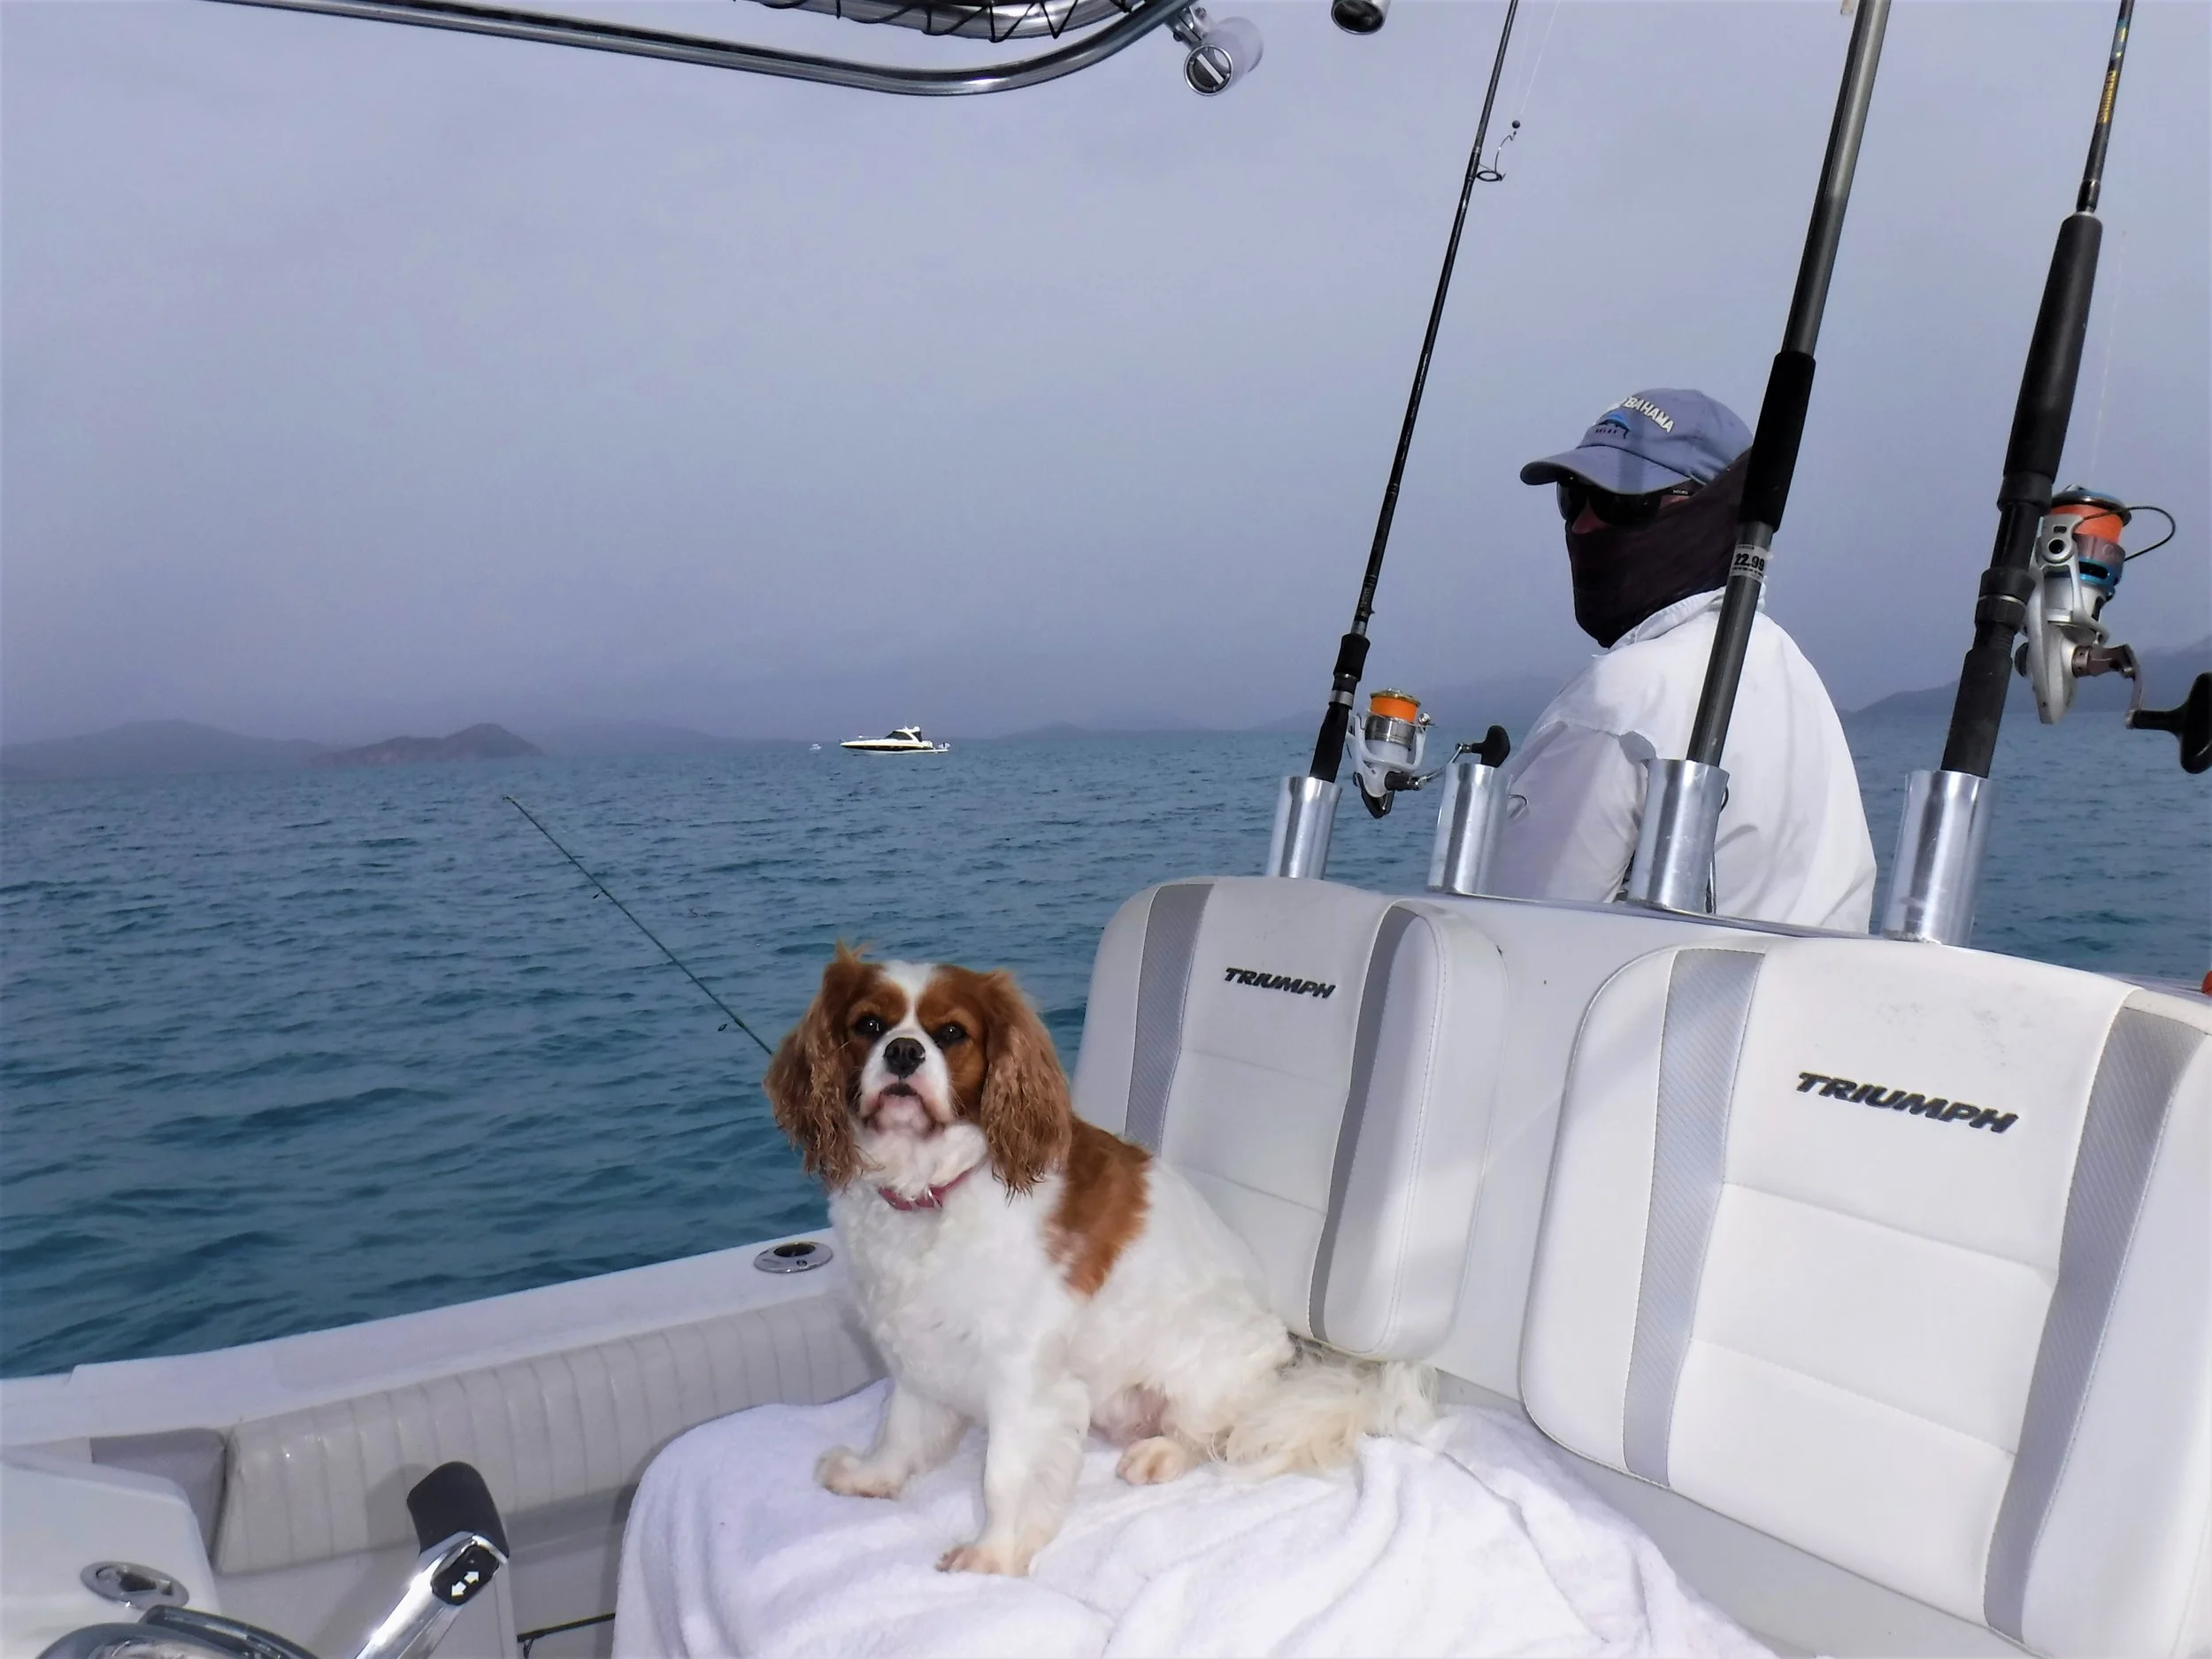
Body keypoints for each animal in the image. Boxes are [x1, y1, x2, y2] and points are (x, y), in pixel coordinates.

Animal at [765, 956, 1433, 1575]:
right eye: (868, 1025)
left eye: (951, 1033)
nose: (903, 1052)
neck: (933, 1188)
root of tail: (1286, 1370)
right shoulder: (916, 1347)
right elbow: (899, 1428)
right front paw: (872, 1477)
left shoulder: (1024, 1378)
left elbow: (1003, 1476)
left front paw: (994, 1553)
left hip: (1203, 1365)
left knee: (1213, 1431)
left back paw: (1162, 1453)